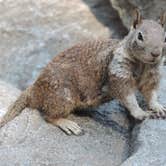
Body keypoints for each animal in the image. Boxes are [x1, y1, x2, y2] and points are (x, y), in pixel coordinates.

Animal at [0, 10, 166, 135]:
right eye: (140, 36)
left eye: (164, 36)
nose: (156, 53)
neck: (143, 64)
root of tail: (34, 89)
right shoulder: (118, 72)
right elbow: (128, 96)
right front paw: (141, 113)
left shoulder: (152, 74)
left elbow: (150, 92)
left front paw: (157, 106)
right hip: (63, 96)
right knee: (48, 116)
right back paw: (67, 124)